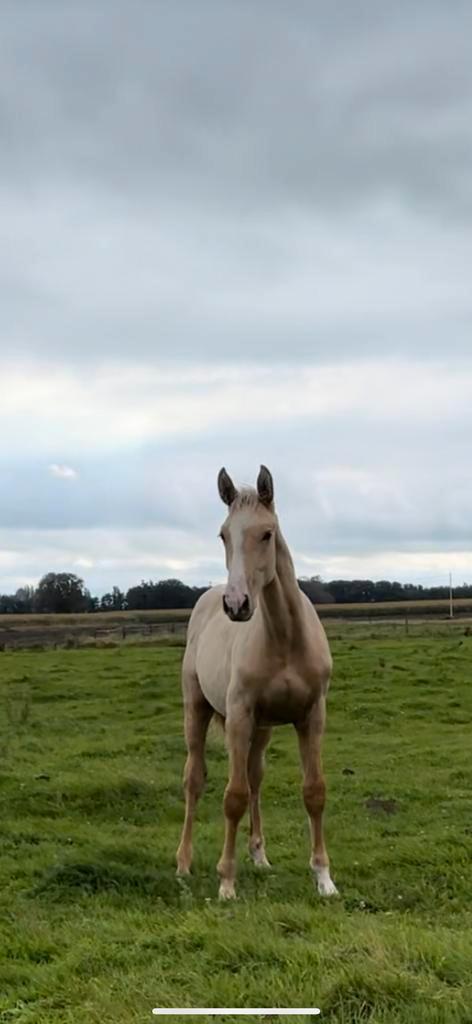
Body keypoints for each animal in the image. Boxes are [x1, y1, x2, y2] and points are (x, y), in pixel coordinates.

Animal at [175, 468, 335, 901]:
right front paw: (226, 881)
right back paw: (184, 862)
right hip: (198, 710)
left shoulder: (311, 716)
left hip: (262, 729)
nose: (237, 605)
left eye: (266, 533)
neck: (284, 638)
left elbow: (313, 791)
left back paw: (259, 855)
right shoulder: (239, 717)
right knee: (195, 780)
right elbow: (233, 796)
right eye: (223, 535)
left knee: (256, 777)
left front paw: (324, 877)